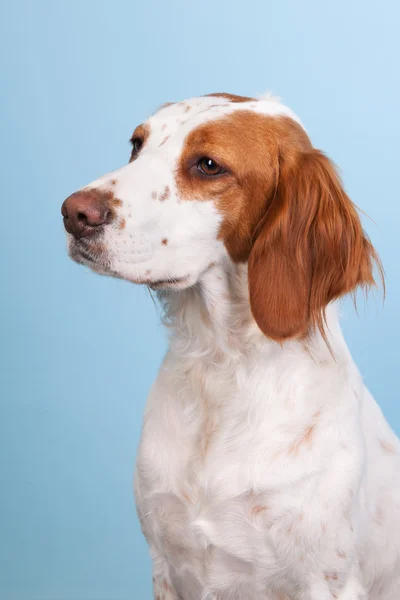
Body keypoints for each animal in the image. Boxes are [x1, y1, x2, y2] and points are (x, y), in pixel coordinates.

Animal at [62, 92, 400, 600]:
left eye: (208, 165)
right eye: (136, 145)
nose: (73, 212)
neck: (222, 368)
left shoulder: (326, 581)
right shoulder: (166, 564)